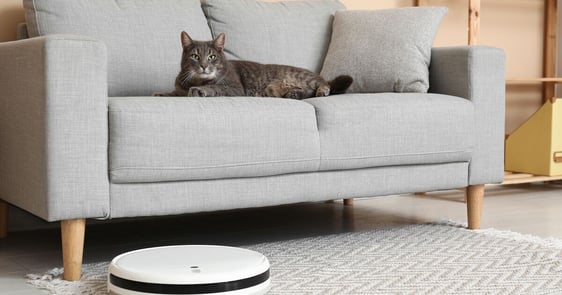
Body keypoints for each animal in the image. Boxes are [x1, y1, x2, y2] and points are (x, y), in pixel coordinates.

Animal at [154, 31, 350, 99]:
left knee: (323, 83)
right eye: (195, 56)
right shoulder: (179, 88)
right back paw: (293, 94)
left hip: (303, 77)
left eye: (211, 56)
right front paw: (162, 93)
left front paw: (200, 90)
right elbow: (174, 92)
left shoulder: (235, 88)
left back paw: (322, 90)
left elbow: (215, 88)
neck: (195, 80)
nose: (203, 65)